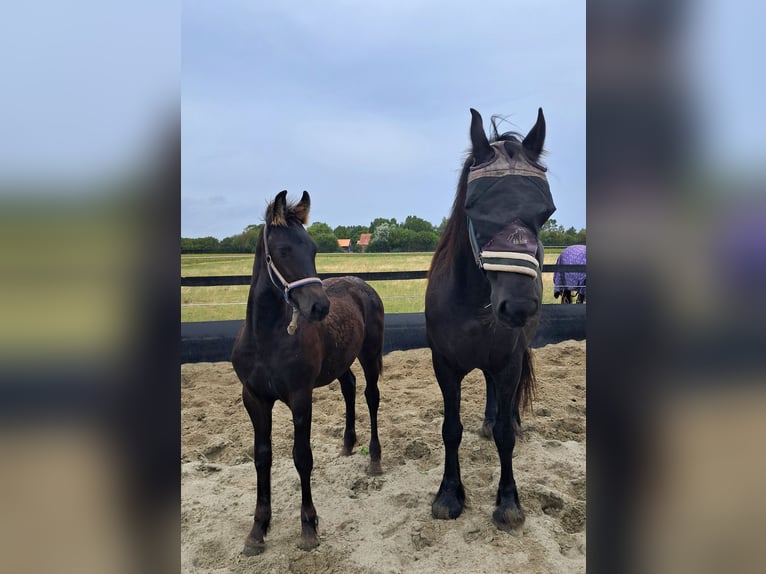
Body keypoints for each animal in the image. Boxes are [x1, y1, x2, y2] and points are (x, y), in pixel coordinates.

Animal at [231, 190, 385, 554]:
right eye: (283, 250)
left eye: (313, 249)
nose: (320, 307)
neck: (266, 339)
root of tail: (362, 284)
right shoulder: (254, 398)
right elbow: (262, 457)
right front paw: (257, 530)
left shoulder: (300, 397)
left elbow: (302, 457)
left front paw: (308, 527)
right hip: (341, 360)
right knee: (349, 386)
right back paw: (347, 444)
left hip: (370, 354)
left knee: (371, 396)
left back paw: (374, 459)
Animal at [425, 107, 555, 531]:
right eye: (476, 208)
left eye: (546, 212)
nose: (518, 307)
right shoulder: (444, 366)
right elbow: (451, 429)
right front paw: (449, 494)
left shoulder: (509, 361)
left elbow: (504, 437)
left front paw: (508, 501)